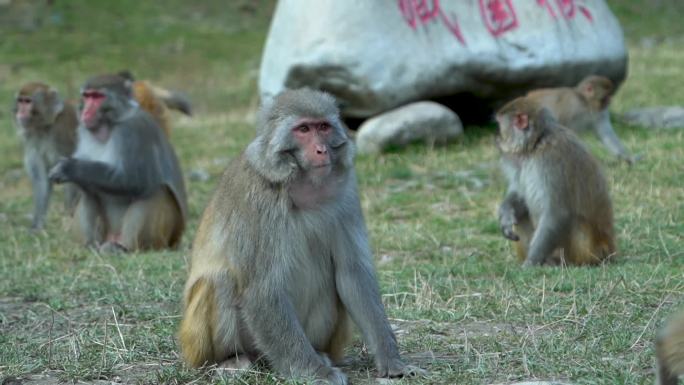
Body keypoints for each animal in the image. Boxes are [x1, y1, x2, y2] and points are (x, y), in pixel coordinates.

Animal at [13, 81, 79, 230]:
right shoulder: (32, 139)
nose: (20, 111)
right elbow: (41, 180)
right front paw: (37, 227)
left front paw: (69, 219)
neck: (45, 126)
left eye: (28, 102)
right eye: (20, 101)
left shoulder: (62, 133)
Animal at [48, 74, 188, 252]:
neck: (110, 125)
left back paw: (125, 248)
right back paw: (90, 246)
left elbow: (134, 181)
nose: (86, 111)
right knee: (90, 193)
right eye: (87, 96)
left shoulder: (132, 132)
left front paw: (70, 168)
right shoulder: (83, 131)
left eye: (98, 97)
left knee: (156, 189)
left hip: (163, 238)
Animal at [178, 88, 422, 382]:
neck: (301, 183)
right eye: (303, 129)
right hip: (197, 345)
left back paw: (319, 353)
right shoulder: (259, 201)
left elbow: (352, 272)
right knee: (221, 281)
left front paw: (391, 359)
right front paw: (317, 373)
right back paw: (232, 359)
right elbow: (262, 290)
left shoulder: (346, 193)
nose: (321, 149)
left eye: (323, 127)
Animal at [494, 95, 616, 266]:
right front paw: (506, 213)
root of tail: (610, 250)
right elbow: (519, 195)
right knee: (522, 215)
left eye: (499, 125)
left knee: (574, 220)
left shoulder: (552, 161)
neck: (537, 143)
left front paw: (531, 261)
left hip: (590, 251)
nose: (497, 138)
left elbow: (557, 212)